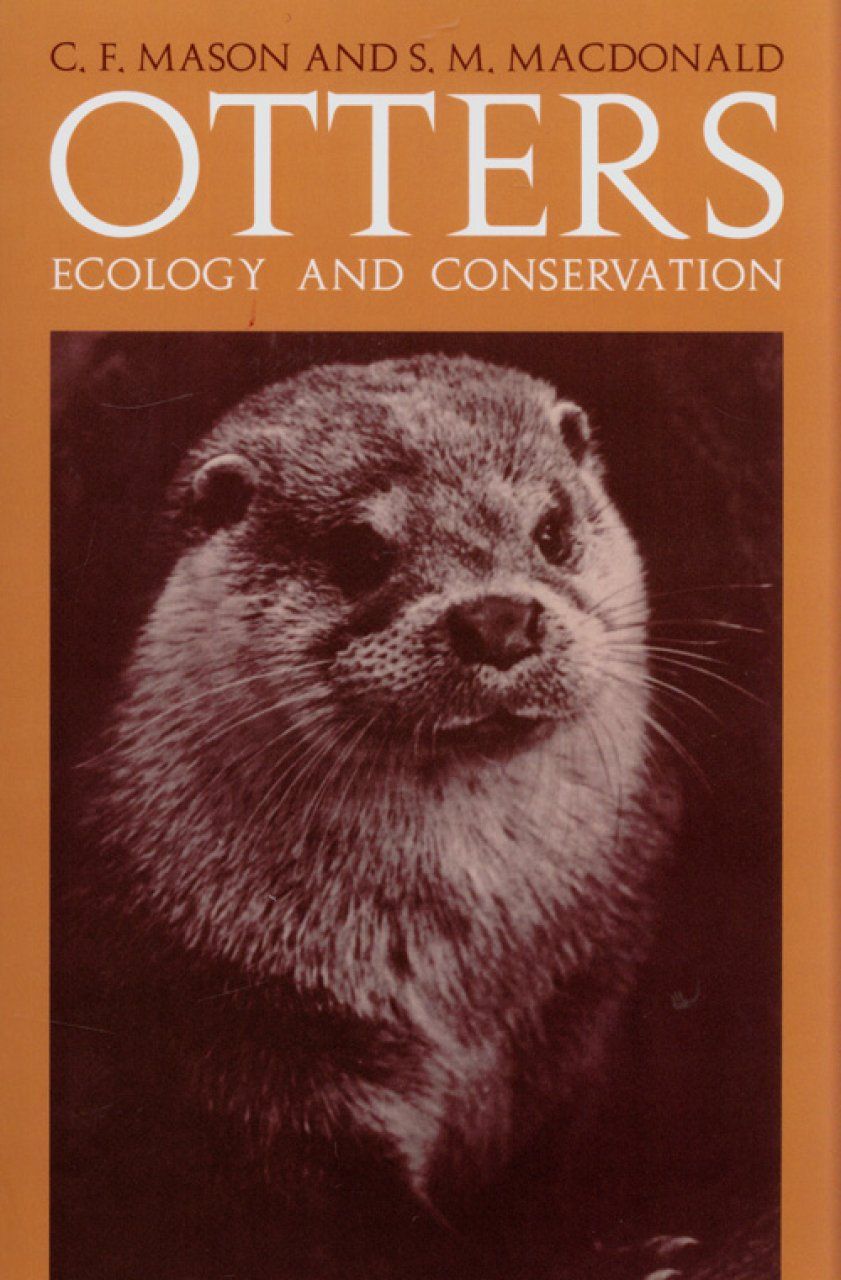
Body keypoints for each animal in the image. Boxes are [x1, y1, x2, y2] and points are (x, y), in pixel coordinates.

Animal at [63, 355, 680, 1280]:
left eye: (550, 530)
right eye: (359, 551)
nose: (498, 617)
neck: (465, 983)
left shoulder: (581, 991)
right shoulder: (240, 1037)